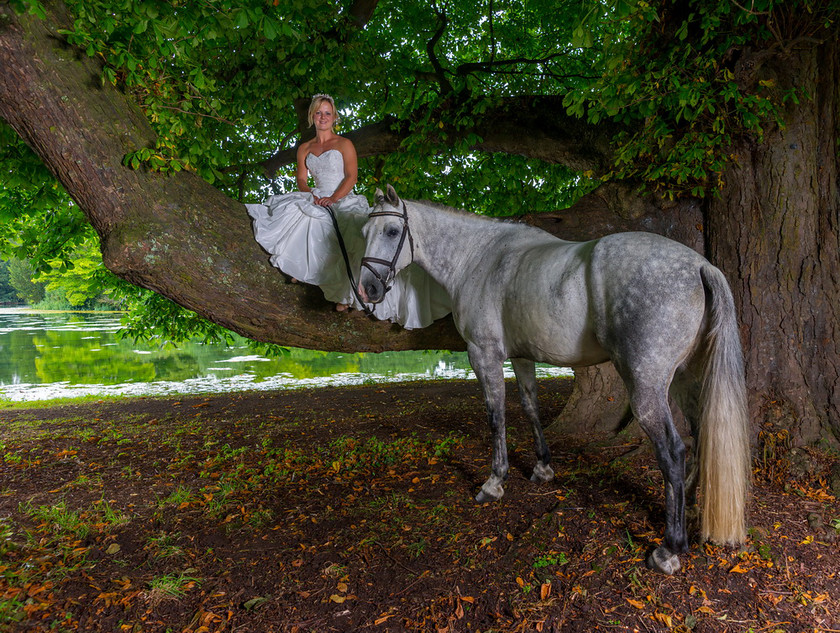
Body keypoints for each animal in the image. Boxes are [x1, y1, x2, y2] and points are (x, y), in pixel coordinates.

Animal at [358, 185, 752, 576]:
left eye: (392, 231)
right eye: (364, 232)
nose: (367, 290)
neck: (478, 258)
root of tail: (699, 265)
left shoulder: (483, 354)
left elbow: (496, 416)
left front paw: (494, 482)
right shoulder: (521, 357)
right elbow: (530, 407)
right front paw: (543, 467)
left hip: (647, 388)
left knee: (673, 451)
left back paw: (669, 548)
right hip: (687, 378)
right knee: (700, 433)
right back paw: (692, 506)